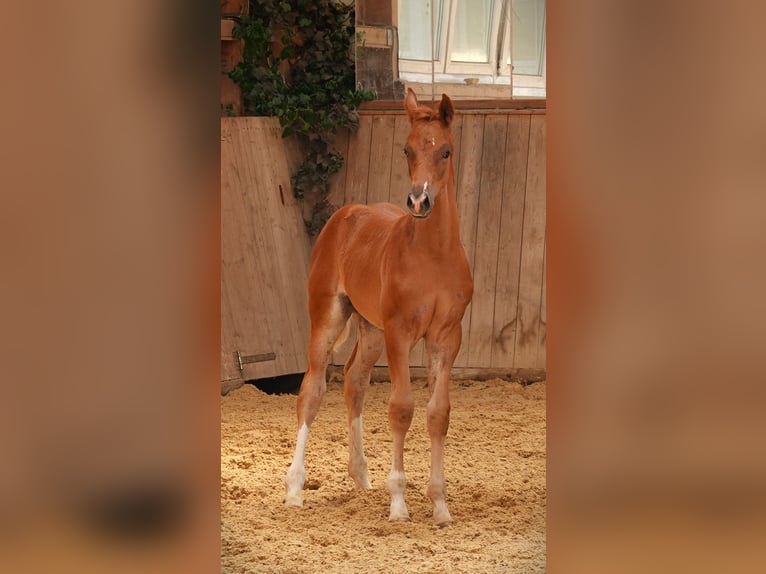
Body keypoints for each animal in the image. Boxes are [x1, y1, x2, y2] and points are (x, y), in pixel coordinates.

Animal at [284, 90, 472, 528]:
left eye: (445, 151)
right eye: (406, 149)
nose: (419, 200)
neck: (434, 256)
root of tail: (345, 214)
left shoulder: (446, 337)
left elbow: (438, 413)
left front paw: (440, 506)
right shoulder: (400, 332)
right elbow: (401, 409)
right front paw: (399, 503)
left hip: (371, 329)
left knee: (354, 381)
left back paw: (360, 474)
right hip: (329, 318)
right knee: (311, 390)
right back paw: (295, 488)